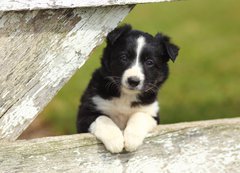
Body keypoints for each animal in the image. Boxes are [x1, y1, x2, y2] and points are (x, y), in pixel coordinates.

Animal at [76, 24, 179, 153]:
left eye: (149, 62)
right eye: (124, 57)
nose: (133, 81)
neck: (126, 96)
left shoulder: (152, 113)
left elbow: (139, 116)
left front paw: (131, 140)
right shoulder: (85, 113)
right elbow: (102, 118)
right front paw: (115, 140)